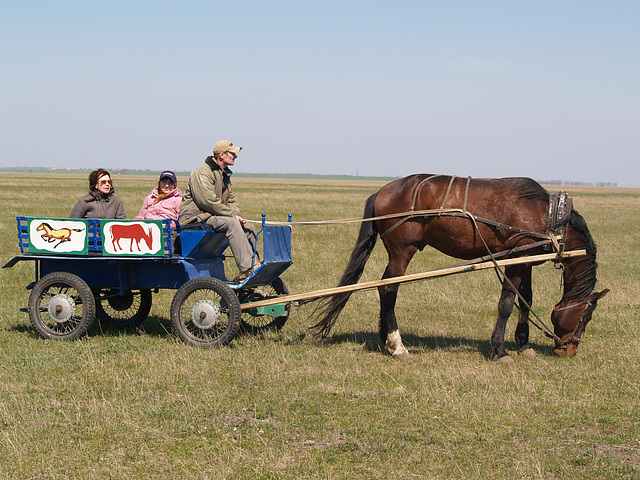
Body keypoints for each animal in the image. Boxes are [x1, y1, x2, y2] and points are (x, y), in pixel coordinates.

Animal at [312, 175, 608, 360]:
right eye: (586, 317)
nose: (569, 349)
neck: (549, 216)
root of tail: (382, 191)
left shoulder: (524, 260)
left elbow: (526, 300)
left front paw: (524, 344)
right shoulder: (514, 262)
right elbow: (507, 303)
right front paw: (500, 350)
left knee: (384, 288)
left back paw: (385, 337)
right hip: (401, 252)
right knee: (388, 290)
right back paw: (397, 345)